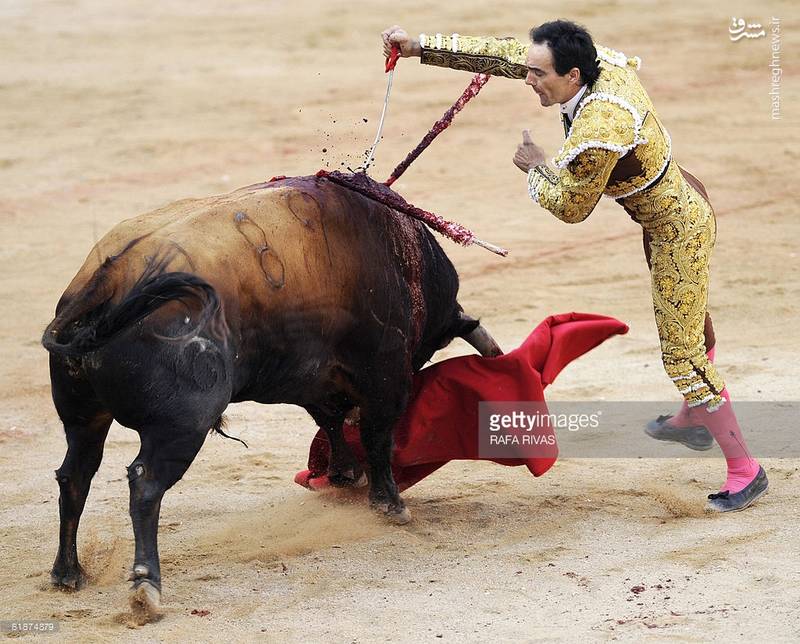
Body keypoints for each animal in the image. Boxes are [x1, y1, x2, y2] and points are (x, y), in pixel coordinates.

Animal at [42, 174, 500, 616]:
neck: (406, 260)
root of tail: (108, 282)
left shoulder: (313, 377)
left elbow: (331, 421)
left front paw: (343, 473)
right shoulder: (385, 375)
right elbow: (376, 436)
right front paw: (389, 503)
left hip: (83, 418)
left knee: (75, 476)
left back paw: (67, 573)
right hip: (181, 426)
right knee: (145, 484)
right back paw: (145, 588)